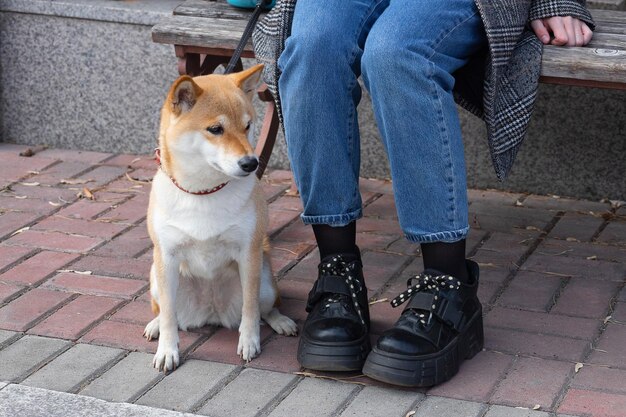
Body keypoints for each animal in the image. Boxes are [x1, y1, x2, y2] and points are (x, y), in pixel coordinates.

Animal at [144, 64, 298, 370]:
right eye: (216, 129)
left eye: (247, 126)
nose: (251, 163)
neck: (204, 192)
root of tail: (212, 312)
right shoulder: (166, 256)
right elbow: (168, 316)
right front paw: (167, 349)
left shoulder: (248, 254)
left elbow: (250, 309)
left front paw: (249, 342)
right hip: (156, 277)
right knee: (163, 310)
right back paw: (154, 325)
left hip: (266, 280)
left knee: (266, 309)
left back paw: (281, 321)